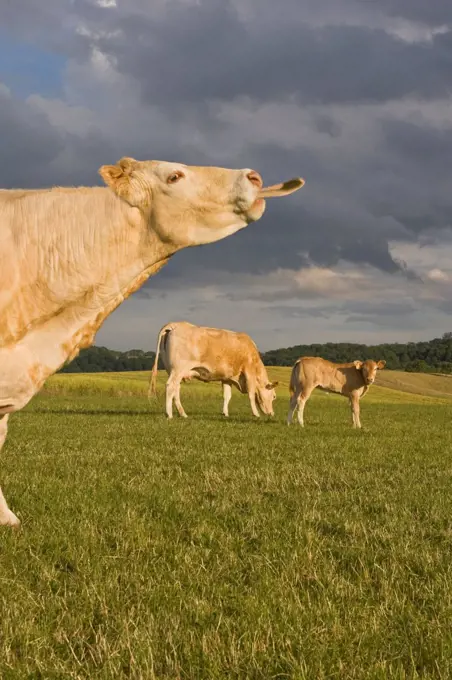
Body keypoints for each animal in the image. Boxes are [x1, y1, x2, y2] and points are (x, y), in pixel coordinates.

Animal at [148, 322, 278, 418]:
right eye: (274, 396)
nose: (272, 413)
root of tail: (175, 324)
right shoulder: (249, 372)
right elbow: (251, 394)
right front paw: (256, 414)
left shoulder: (227, 378)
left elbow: (227, 396)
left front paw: (225, 413)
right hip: (177, 370)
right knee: (170, 387)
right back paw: (169, 414)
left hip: (173, 371)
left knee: (176, 390)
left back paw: (182, 413)